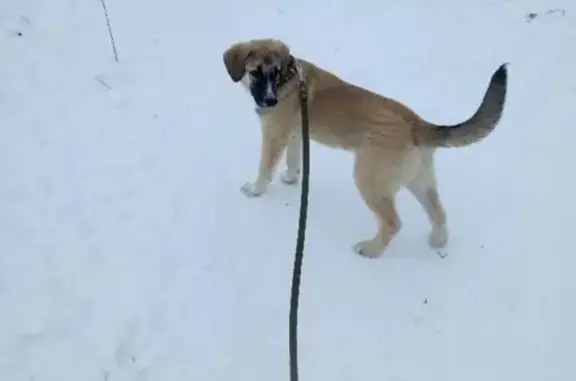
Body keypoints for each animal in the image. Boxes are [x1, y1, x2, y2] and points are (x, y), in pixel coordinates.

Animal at [223, 38, 506, 256]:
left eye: (275, 73)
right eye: (256, 72)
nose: (269, 101)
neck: (290, 80)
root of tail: (418, 125)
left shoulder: (274, 136)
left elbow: (265, 168)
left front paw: (255, 190)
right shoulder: (294, 135)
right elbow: (294, 161)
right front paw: (291, 179)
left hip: (369, 179)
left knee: (393, 223)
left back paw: (371, 250)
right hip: (419, 180)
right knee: (438, 212)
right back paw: (438, 242)